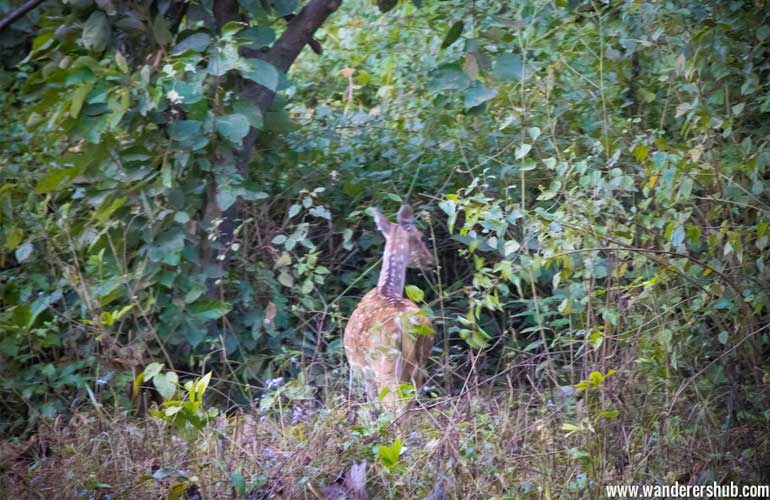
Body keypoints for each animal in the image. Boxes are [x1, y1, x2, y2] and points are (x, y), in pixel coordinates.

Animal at [342, 205, 432, 408]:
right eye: (420, 237)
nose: (430, 261)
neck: (386, 288)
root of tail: (406, 325)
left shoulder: (359, 369)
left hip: (385, 363)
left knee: (394, 404)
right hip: (421, 358)